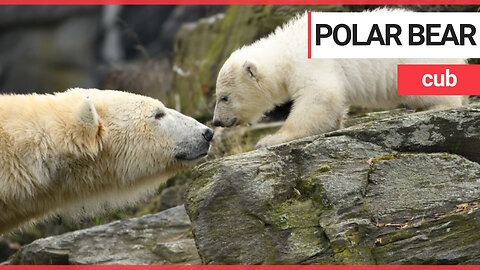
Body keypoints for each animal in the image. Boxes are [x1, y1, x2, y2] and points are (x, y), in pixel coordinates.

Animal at [212, 10, 466, 148]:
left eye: (224, 97)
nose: (216, 121)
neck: (286, 49)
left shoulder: (310, 63)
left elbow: (320, 94)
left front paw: (271, 138)